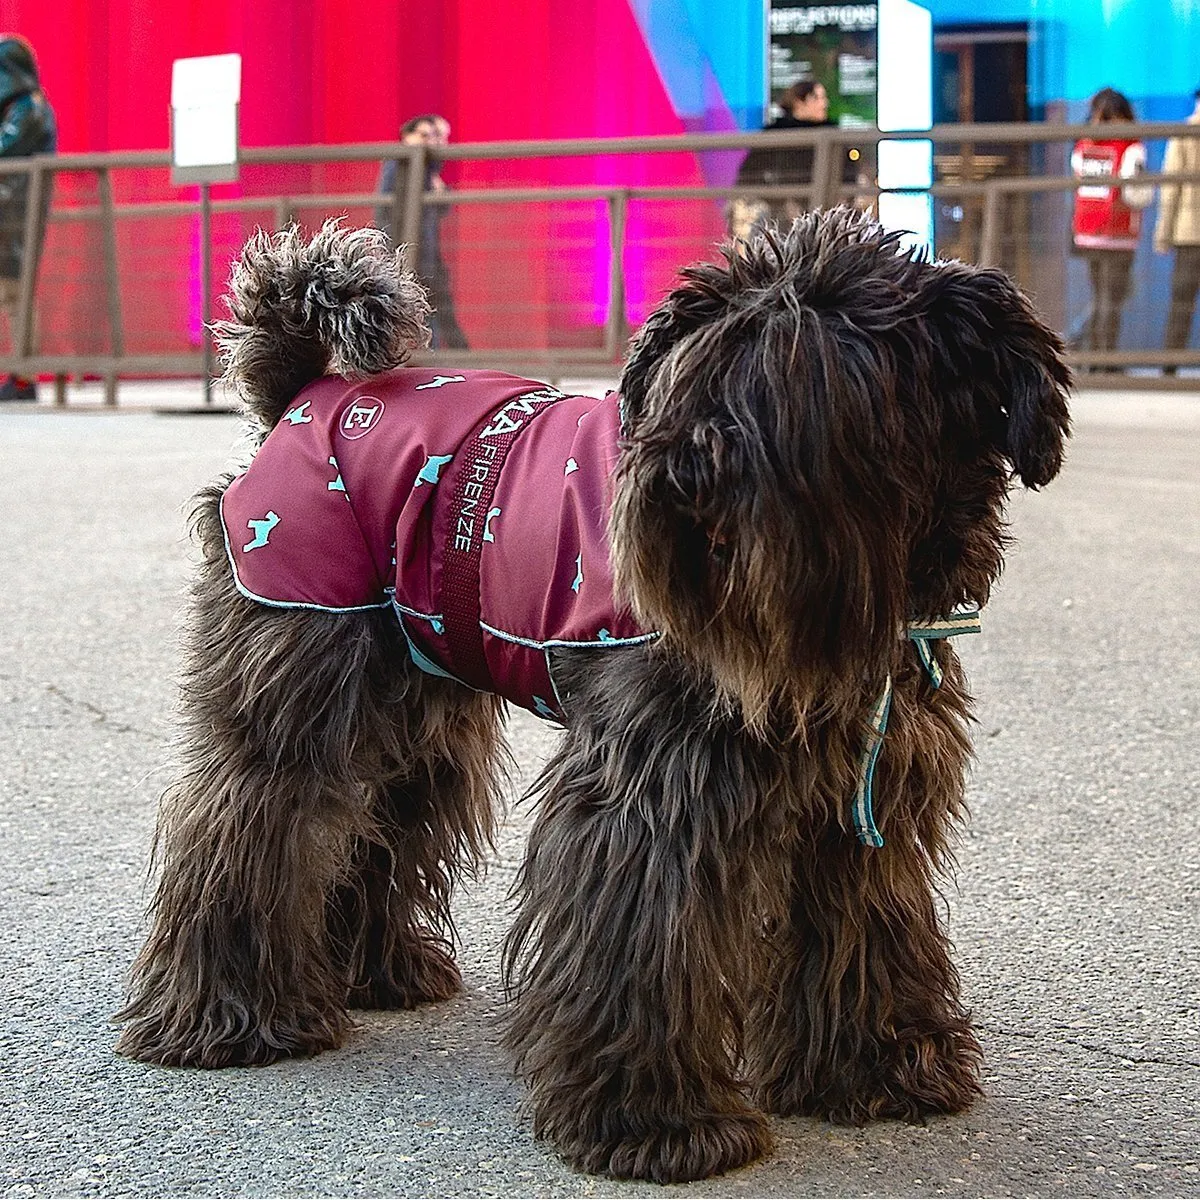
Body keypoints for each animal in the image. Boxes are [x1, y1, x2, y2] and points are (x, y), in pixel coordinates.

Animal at [117, 208, 1075, 1180]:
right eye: (701, 363)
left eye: (818, 367)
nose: (685, 471)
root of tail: (308, 393)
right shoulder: (657, 796)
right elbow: (642, 940)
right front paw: (653, 1119)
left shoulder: (862, 800)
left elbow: (864, 926)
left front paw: (877, 1065)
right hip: (298, 685)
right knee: (251, 821)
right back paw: (234, 1016)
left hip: (416, 712)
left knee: (372, 821)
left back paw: (370, 973)